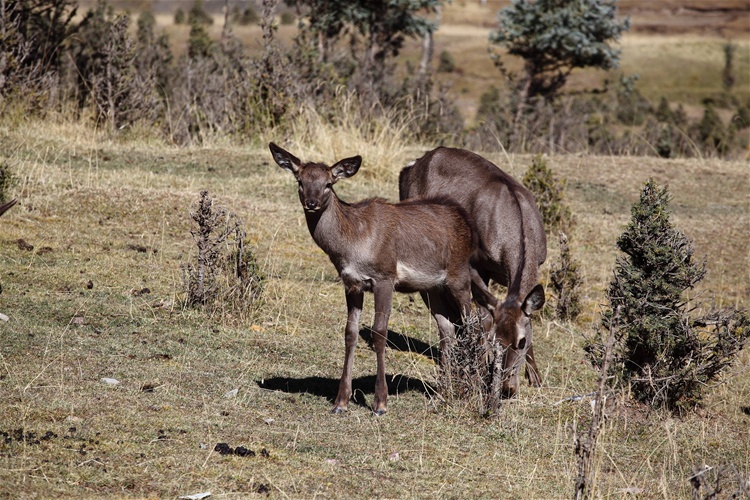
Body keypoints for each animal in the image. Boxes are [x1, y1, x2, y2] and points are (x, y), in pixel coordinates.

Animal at [274, 142, 478, 414]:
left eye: (329, 183)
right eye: (300, 180)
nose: (312, 202)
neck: (351, 246)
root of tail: (464, 219)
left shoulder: (385, 277)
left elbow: (379, 332)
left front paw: (380, 403)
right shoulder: (351, 283)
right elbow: (350, 333)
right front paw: (341, 401)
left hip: (459, 275)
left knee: (474, 324)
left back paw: (470, 387)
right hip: (432, 288)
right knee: (447, 329)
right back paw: (443, 392)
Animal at [400, 147, 548, 398]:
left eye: (522, 341)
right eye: (495, 341)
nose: (507, 389)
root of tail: (412, 165)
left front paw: (536, 377)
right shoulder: (476, 264)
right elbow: (484, 319)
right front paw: (480, 369)